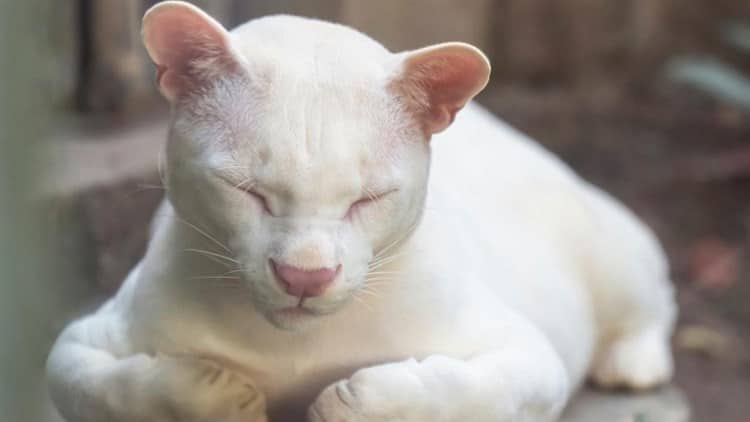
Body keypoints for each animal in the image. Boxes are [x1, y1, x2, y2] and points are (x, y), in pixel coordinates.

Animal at [47, 1, 680, 420]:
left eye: (366, 199)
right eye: (247, 190)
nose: (305, 276)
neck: (295, 346)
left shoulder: (529, 354)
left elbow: (462, 393)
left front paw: (352, 400)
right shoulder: (79, 342)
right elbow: (109, 388)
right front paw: (218, 395)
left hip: (612, 251)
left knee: (656, 296)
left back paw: (633, 360)